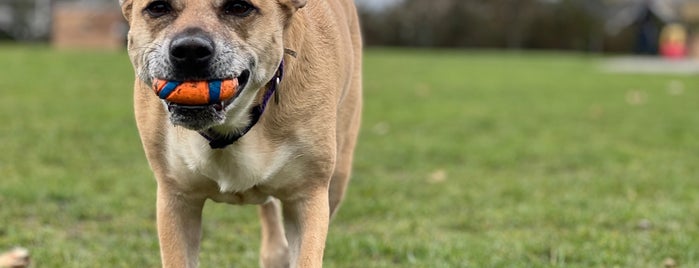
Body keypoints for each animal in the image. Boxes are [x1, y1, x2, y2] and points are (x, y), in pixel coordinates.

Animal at [119, 0, 360, 266]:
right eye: (158, 7)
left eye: (239, 7)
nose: (190, 50)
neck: (230, 127)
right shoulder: (176, 197)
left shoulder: (308, 194)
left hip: (338, 172)